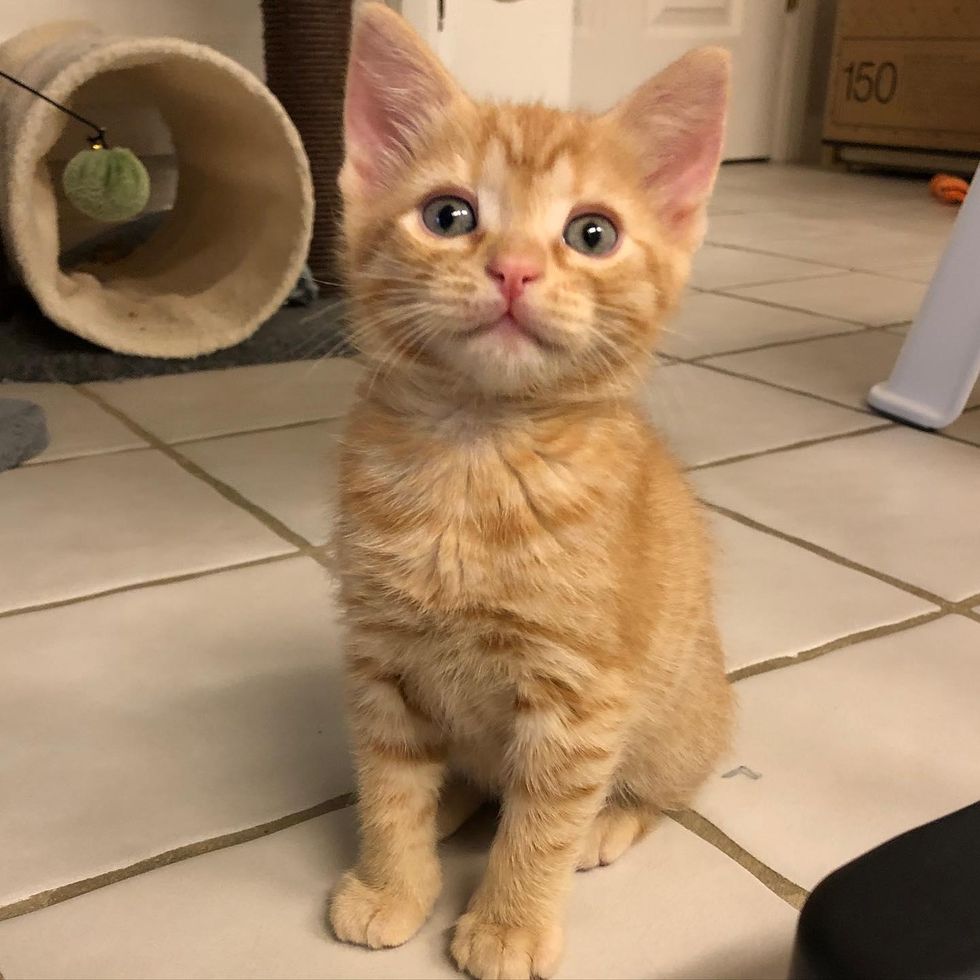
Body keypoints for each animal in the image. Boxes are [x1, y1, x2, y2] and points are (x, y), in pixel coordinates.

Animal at [332, 3, 736, 976]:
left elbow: (542, 817)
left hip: (678, 716)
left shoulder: (579, 696)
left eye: (592, 233)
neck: (476, 455)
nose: (513, 269)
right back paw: (452, 800)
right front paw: (392, 880)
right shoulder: (380, 661)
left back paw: (613, 820)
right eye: (449, 216)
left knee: (665, 788)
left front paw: (510, 921)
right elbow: (388, 780)